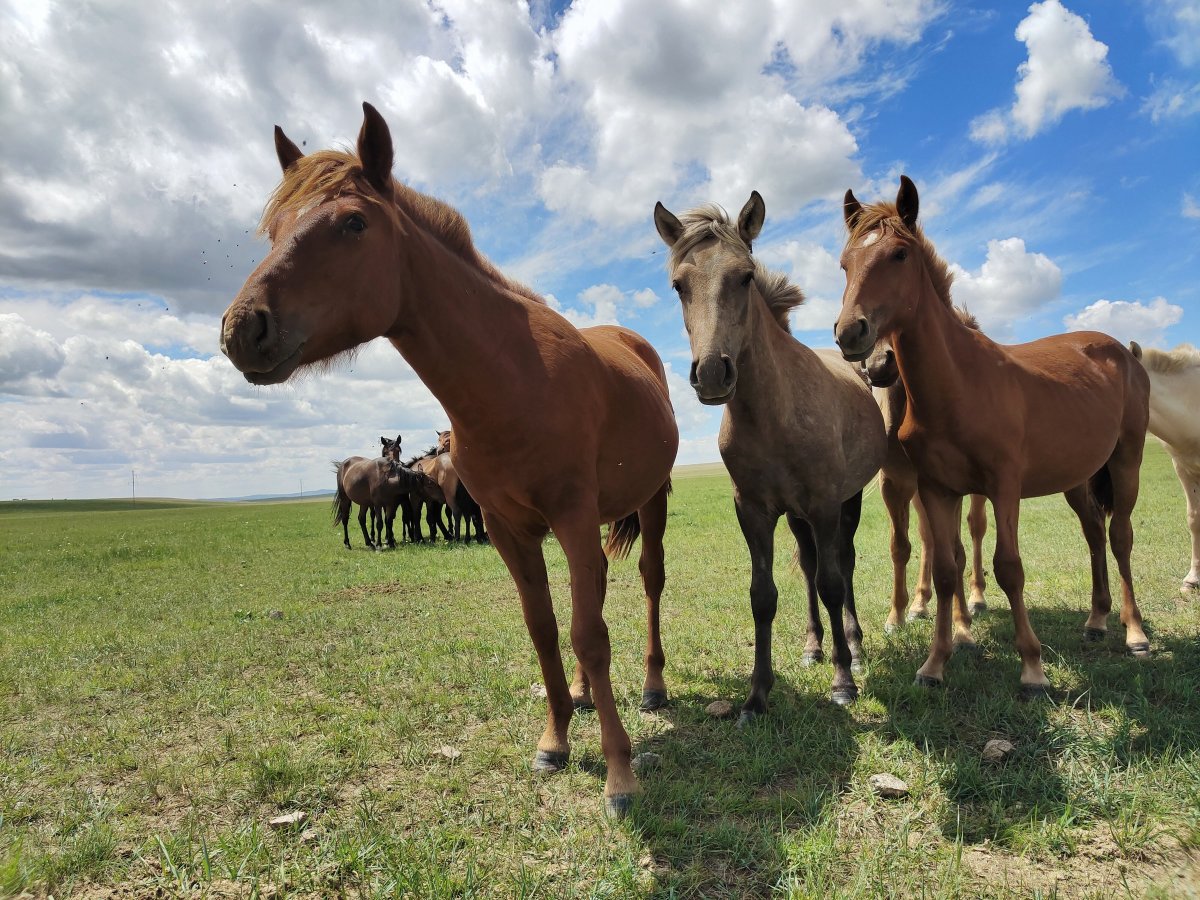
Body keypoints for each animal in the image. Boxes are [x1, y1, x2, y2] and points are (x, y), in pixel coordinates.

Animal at [220, 103, 681, 816]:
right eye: (273, 230)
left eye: (354, 223)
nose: (243, 327)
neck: (514, 379)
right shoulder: (505, 528)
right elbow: (547, 628)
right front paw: (555, 739)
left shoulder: (573, 517)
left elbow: (590, 634)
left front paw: (619, 773)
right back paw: (580, 694)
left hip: (650, 501)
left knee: (650, 582)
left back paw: (655, 686)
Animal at [652, 194, 888, 724]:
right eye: (678, 285)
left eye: (744, 276)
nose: (712, 373)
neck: (775, 415)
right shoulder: (754, 511)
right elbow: (763, 595)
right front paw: (757, 695)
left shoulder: (824, 504)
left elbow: (832, 582)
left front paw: (843, 682)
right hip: (798, 517)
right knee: (808, 564)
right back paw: (814, 646)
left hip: (846, 503)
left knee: (842, 564)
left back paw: (854, 648)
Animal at [835, 176, 1152, 696]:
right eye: (845, 263)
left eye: (899, 254)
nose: (850, 333)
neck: (959, 384)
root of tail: (1124, 351)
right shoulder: (936, 489)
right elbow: (947, 568)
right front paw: (935, 662)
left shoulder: (1003, 486)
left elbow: (1009, 567)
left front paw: (1032, 668)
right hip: (1077, 477)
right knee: (1093, 531)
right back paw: (1096, 620)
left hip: (1127, 460)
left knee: (1120, 536)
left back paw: (1134, 632)